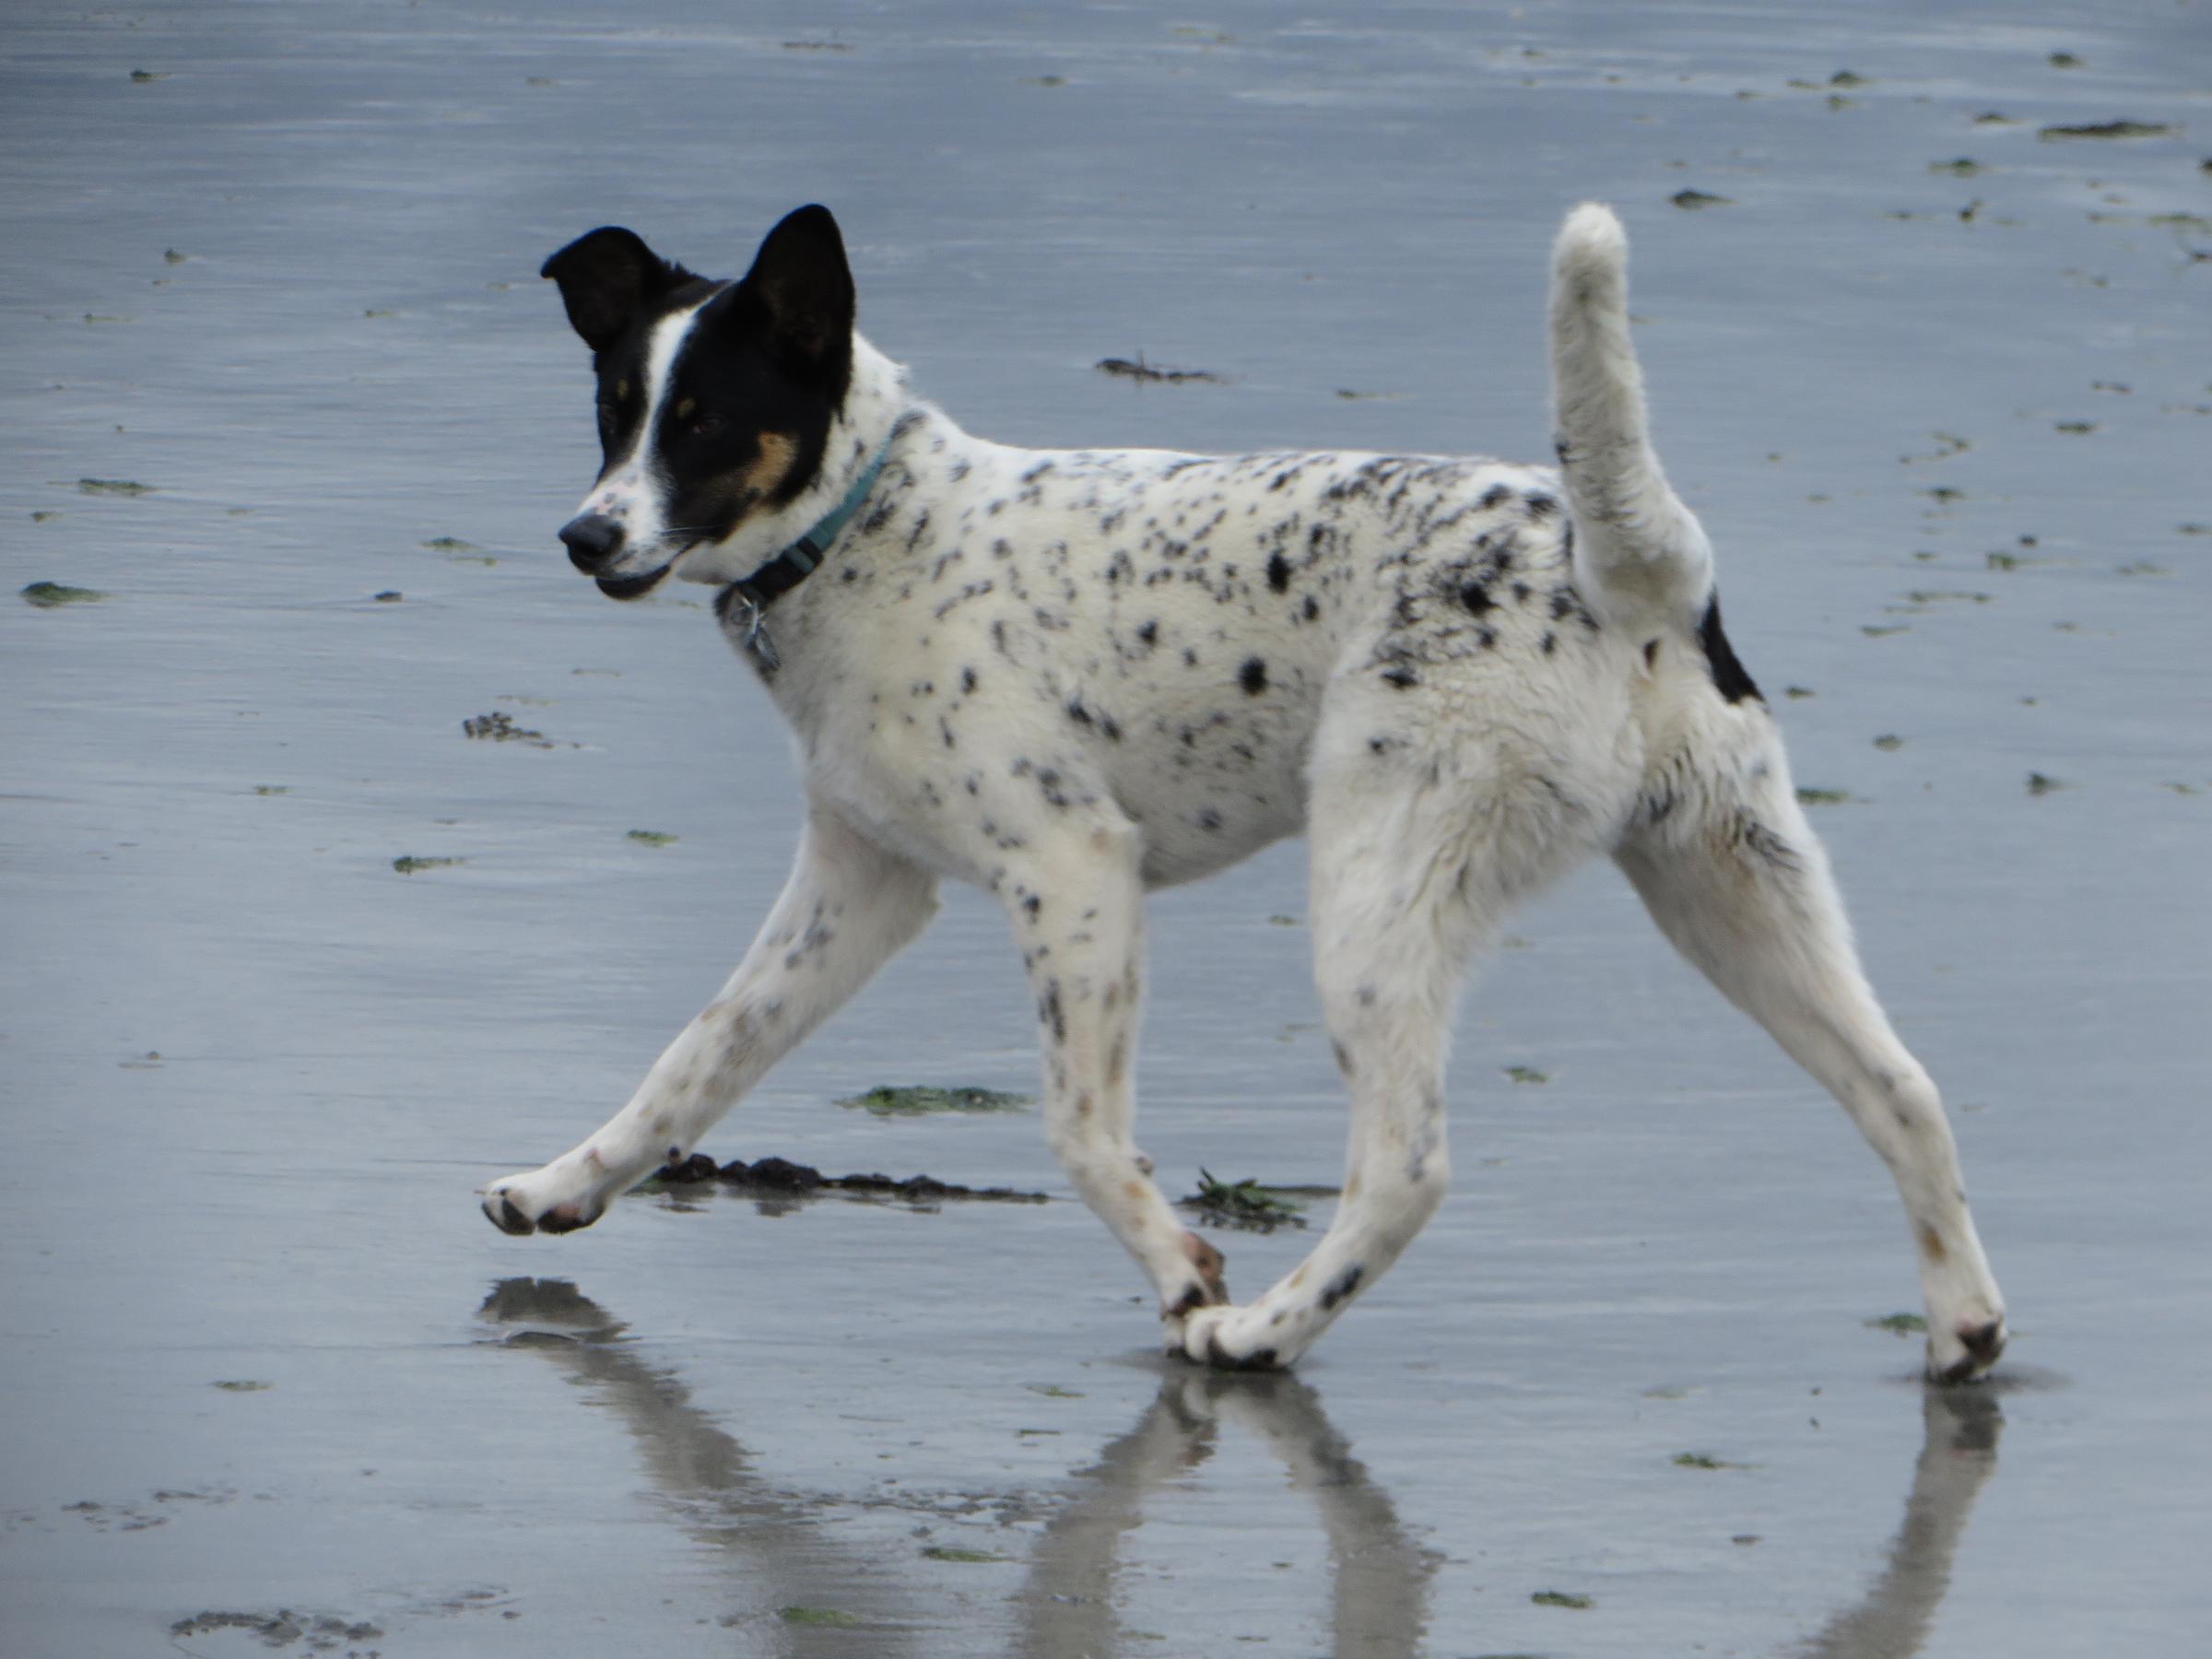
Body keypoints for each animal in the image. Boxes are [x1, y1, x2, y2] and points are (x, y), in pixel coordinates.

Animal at [479, 201, 2008, 1380]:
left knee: (1404, 1167)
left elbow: (1082, 1132)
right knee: (1906, 1090)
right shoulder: (859, 888)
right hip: (1735, 890)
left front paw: (1183, 1275)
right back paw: (1964, 1327)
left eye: (706, 424)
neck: (874, 529)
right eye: (615, 413)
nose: (582, 536)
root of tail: (1617, 564)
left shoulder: (1072, 873)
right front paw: (565, 1184)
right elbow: (697, 1061)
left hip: (1375, 907)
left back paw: (1266, 1333)